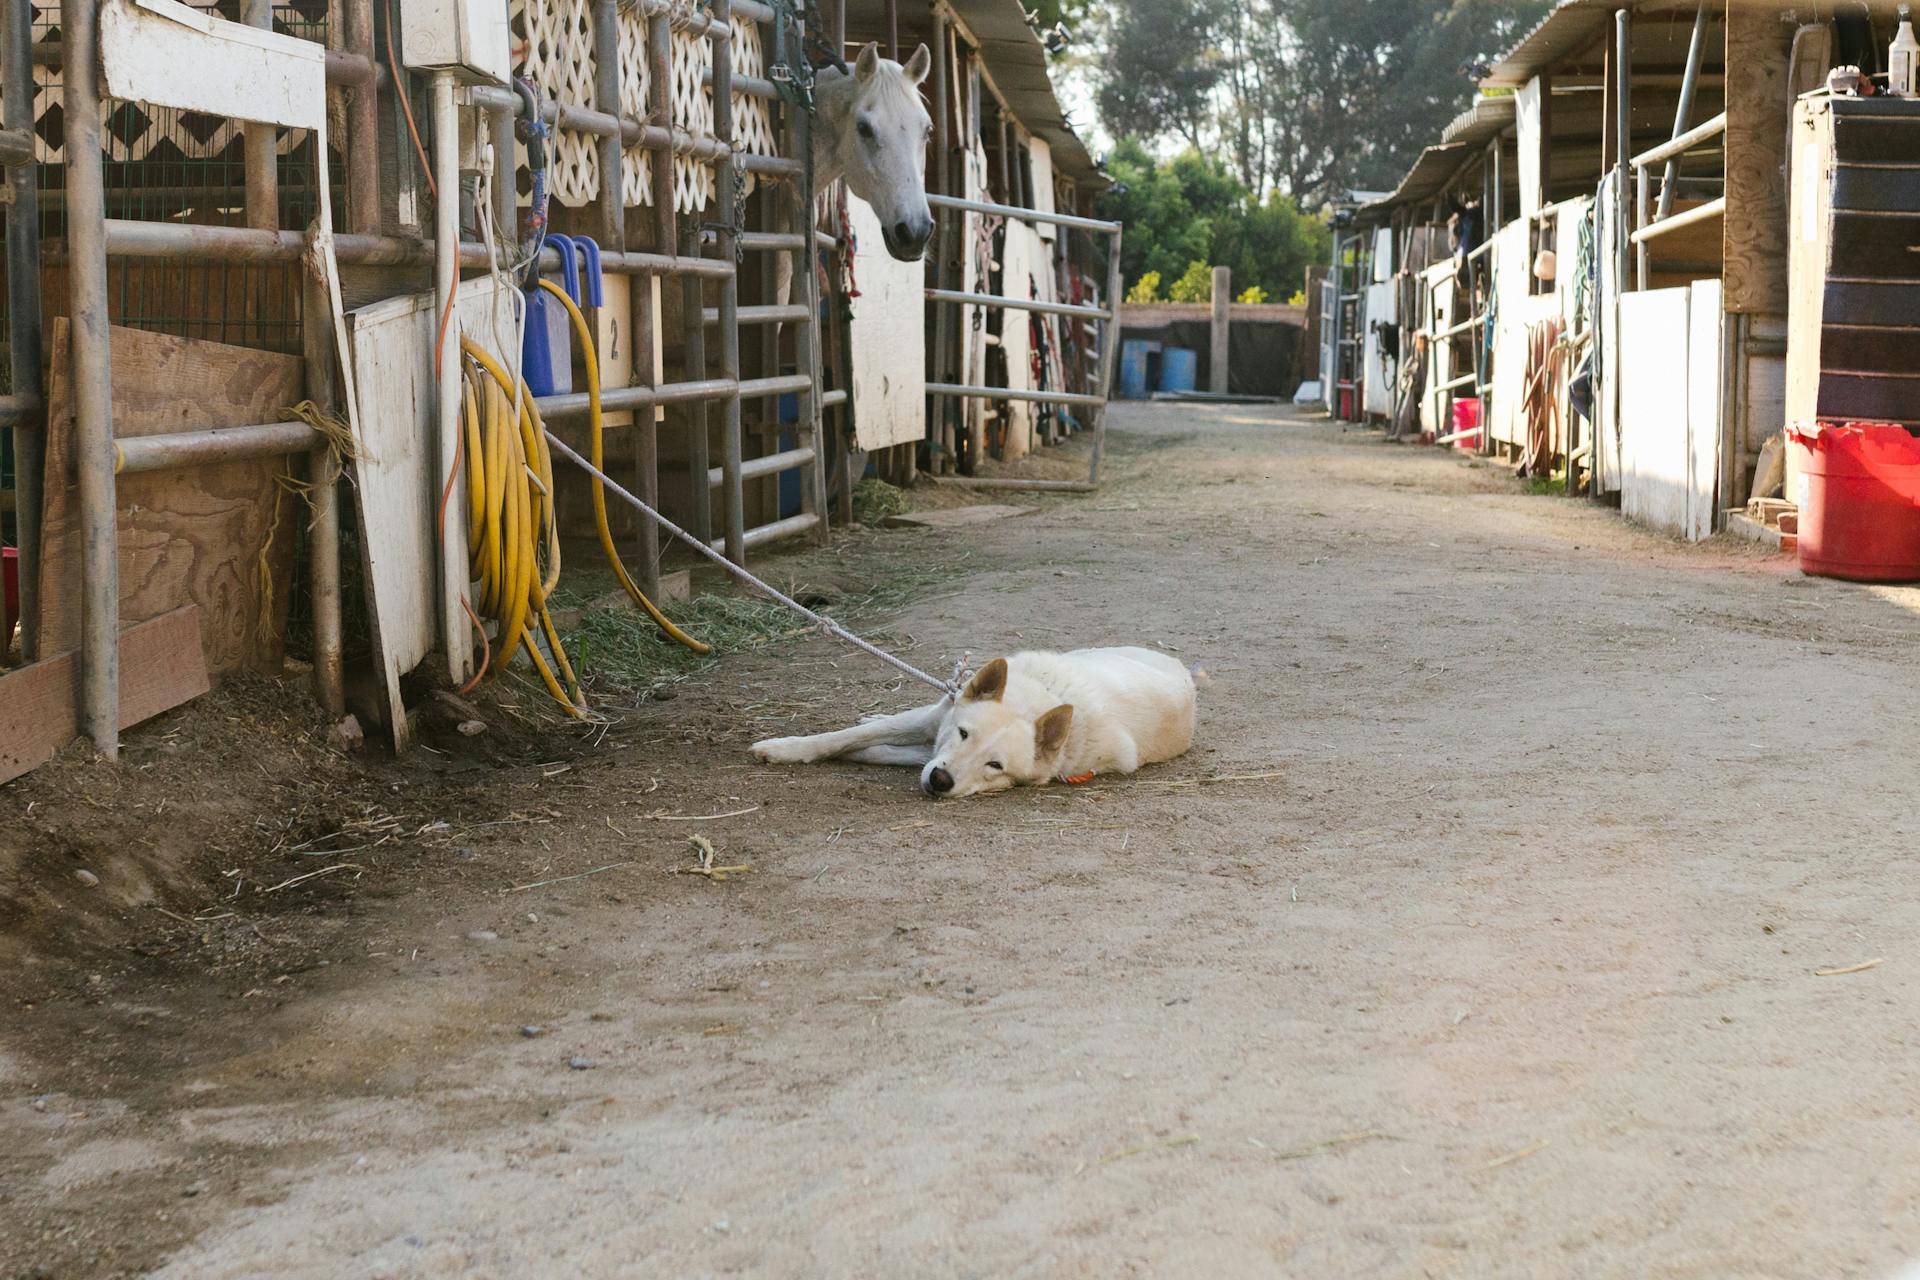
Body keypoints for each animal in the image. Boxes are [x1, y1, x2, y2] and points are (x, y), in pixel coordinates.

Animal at [748, 652, 1198, 802]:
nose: (941, 780)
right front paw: (784, 748)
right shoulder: (935, 721)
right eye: (964, 734)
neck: (1039, 698)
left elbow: (879, 750)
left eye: (995, 766)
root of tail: (1182, 667)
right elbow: (843, 738)